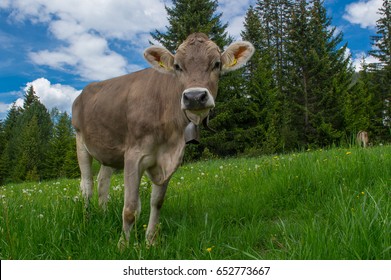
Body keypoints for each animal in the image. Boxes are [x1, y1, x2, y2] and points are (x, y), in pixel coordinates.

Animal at [72, 32, 256, 247]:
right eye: (177, 66)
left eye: (216, 64)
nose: (195, 96)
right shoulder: (134, 155)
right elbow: (130, 207)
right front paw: (123, 246)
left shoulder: (169, 158)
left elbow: (157, 202)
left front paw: (150, 241)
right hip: (80, 140)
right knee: (87, 187)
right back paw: (87, 222)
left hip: (109, 150)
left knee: (103, 182)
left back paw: (103, 215)